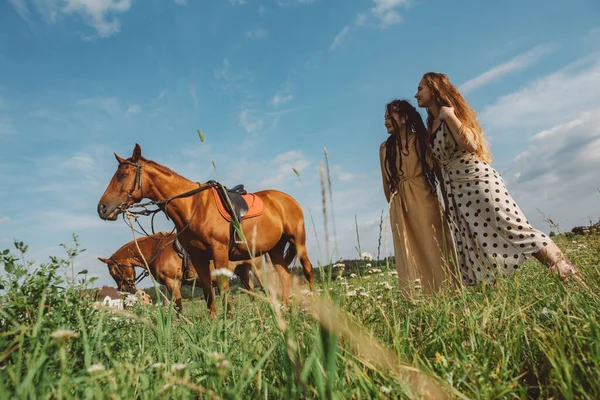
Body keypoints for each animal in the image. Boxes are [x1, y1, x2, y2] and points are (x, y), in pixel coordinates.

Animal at [97, 231, 264, 312]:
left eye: (114, 272)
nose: (125, 290)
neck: (157, 249)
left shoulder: (173, 282)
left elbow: (178, 307)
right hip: (243, 273)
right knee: (252, 293)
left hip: (257, 271)